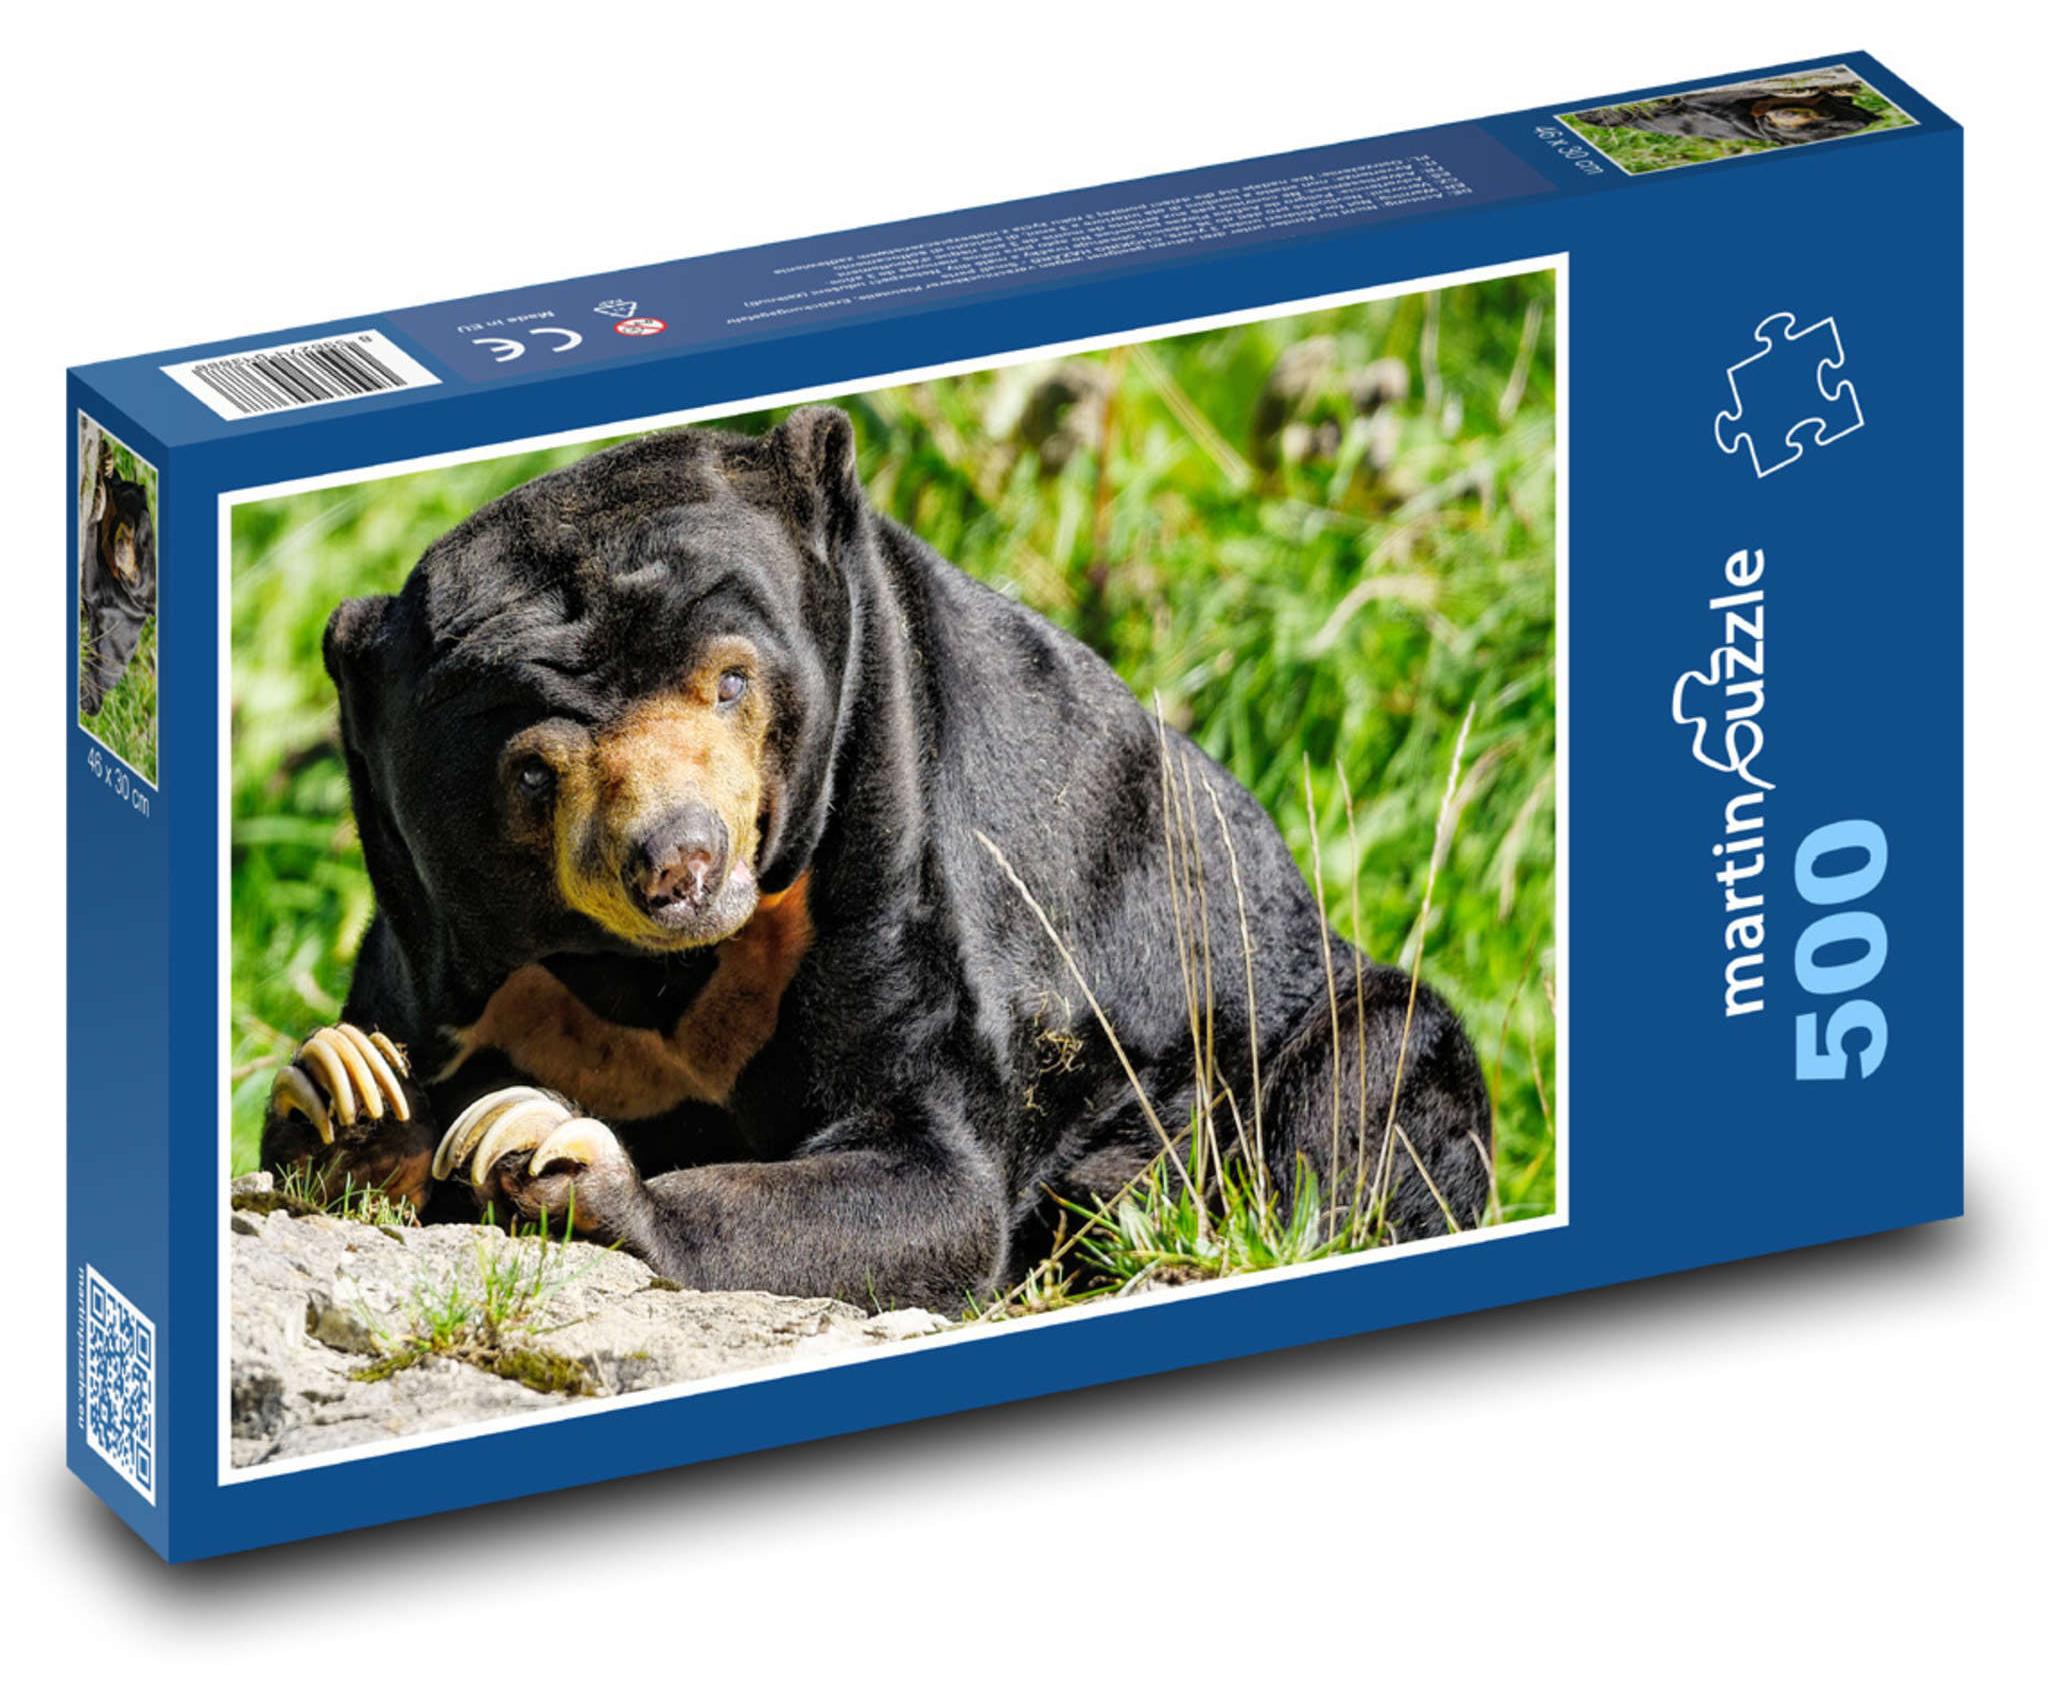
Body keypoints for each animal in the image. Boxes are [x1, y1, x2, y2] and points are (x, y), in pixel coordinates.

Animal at [260, 407, 1492, 1313]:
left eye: (732, 679)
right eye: (529, 773)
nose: (679, 864)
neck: (647, 974)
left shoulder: (897, 835)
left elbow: (928, 1175)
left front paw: (549, 1149)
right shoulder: (431, 936)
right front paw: (349, 1092)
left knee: (1366, 1084)